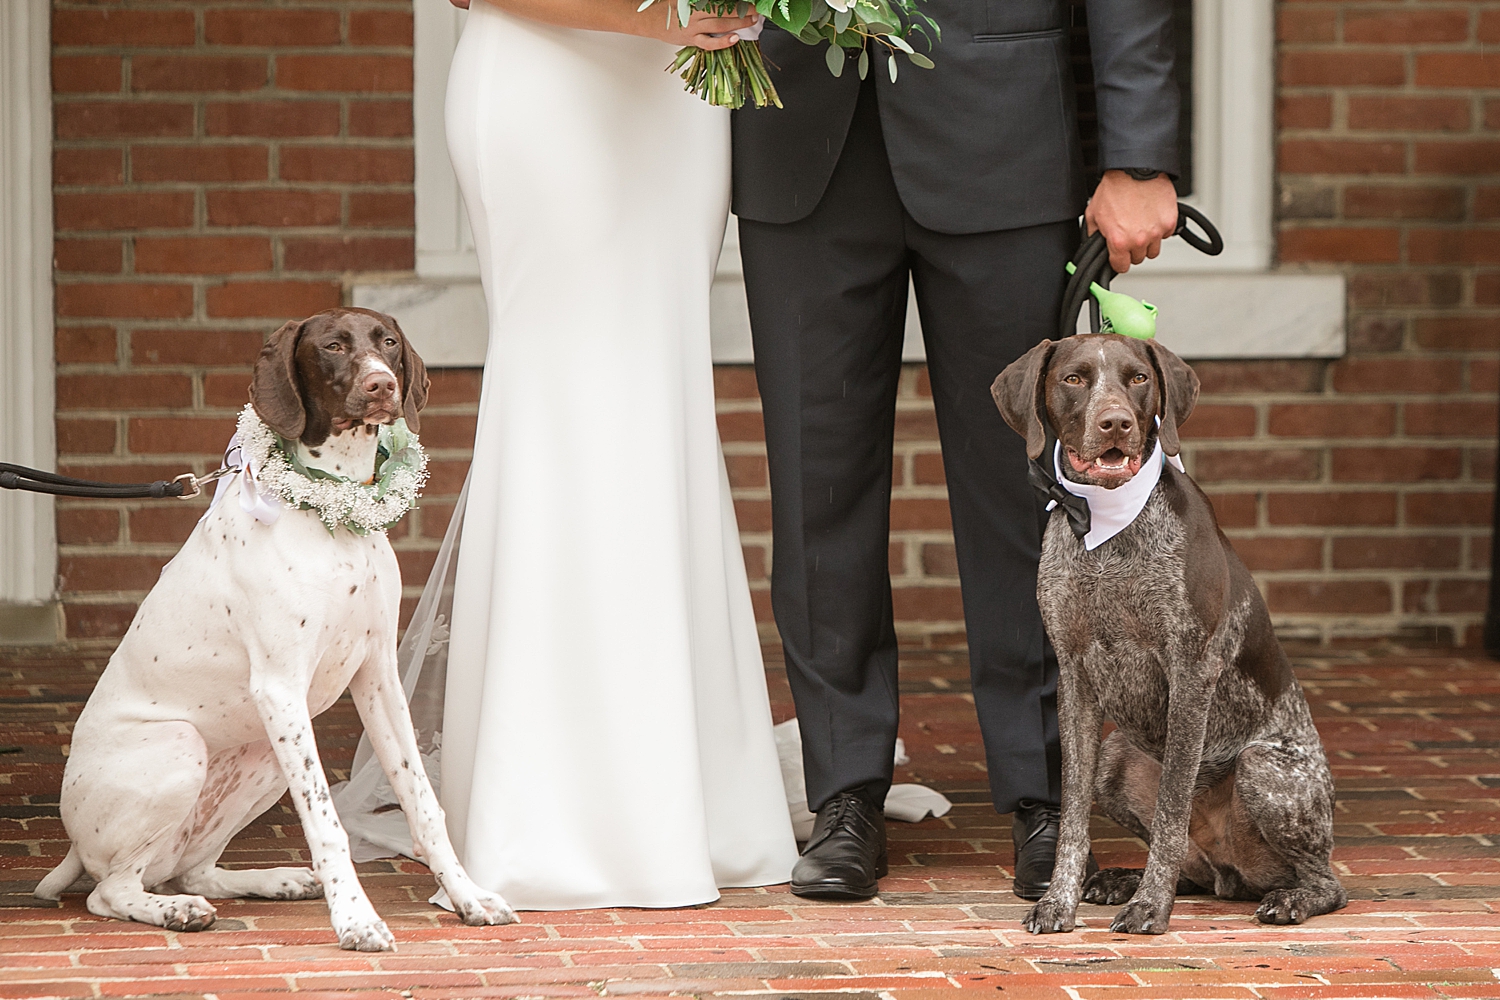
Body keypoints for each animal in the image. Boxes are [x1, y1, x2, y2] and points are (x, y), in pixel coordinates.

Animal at [36, 308, 516, 953]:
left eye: (388, 341)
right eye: (333, 346)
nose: (382, 385)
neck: (335, 510)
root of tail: (70, 841)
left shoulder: (378, 678)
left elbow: (422, 801)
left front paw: (467, 896)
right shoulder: (281, 687)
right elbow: (327, 823)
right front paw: (357, 920)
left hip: (261, 754)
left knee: (191, 868)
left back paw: (276, 881)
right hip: (187, 747)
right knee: (109, 890)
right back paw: (175, 911)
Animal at [990, 335, 1344, 941]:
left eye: (1137, 378)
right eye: (1074, 379)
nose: (1115, 423)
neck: (1107, 527)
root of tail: (1234, 874)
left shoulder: (1190, 673)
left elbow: (1173, 806)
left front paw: (1151, 908)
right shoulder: (1075, 676)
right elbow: (1073, 815)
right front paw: (1059, 902)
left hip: (1267, 769)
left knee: (1325, 881)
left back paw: (1290, 898)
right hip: (1115, 757)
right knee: (1196, 871)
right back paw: (1121, 880)